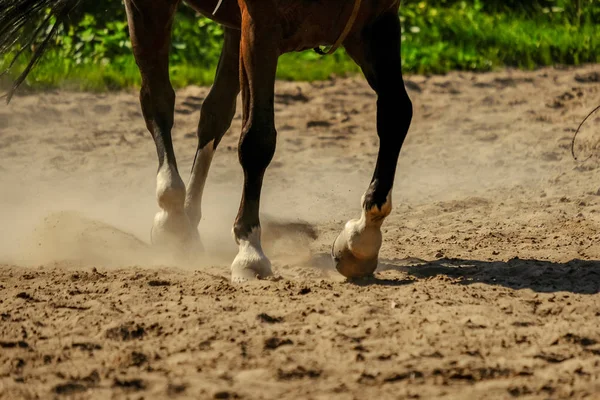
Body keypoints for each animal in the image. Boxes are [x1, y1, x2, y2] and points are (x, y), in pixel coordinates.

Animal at [0, 0, 412, 282]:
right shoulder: (261, 28)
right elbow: (258, 139)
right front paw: (249, 251)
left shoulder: (376, 24)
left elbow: (397, 114)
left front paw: (362, 239)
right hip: (153, 8)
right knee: (158, 101)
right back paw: (171, 214)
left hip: (234, 27)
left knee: (214, 113)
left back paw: (187, 218)